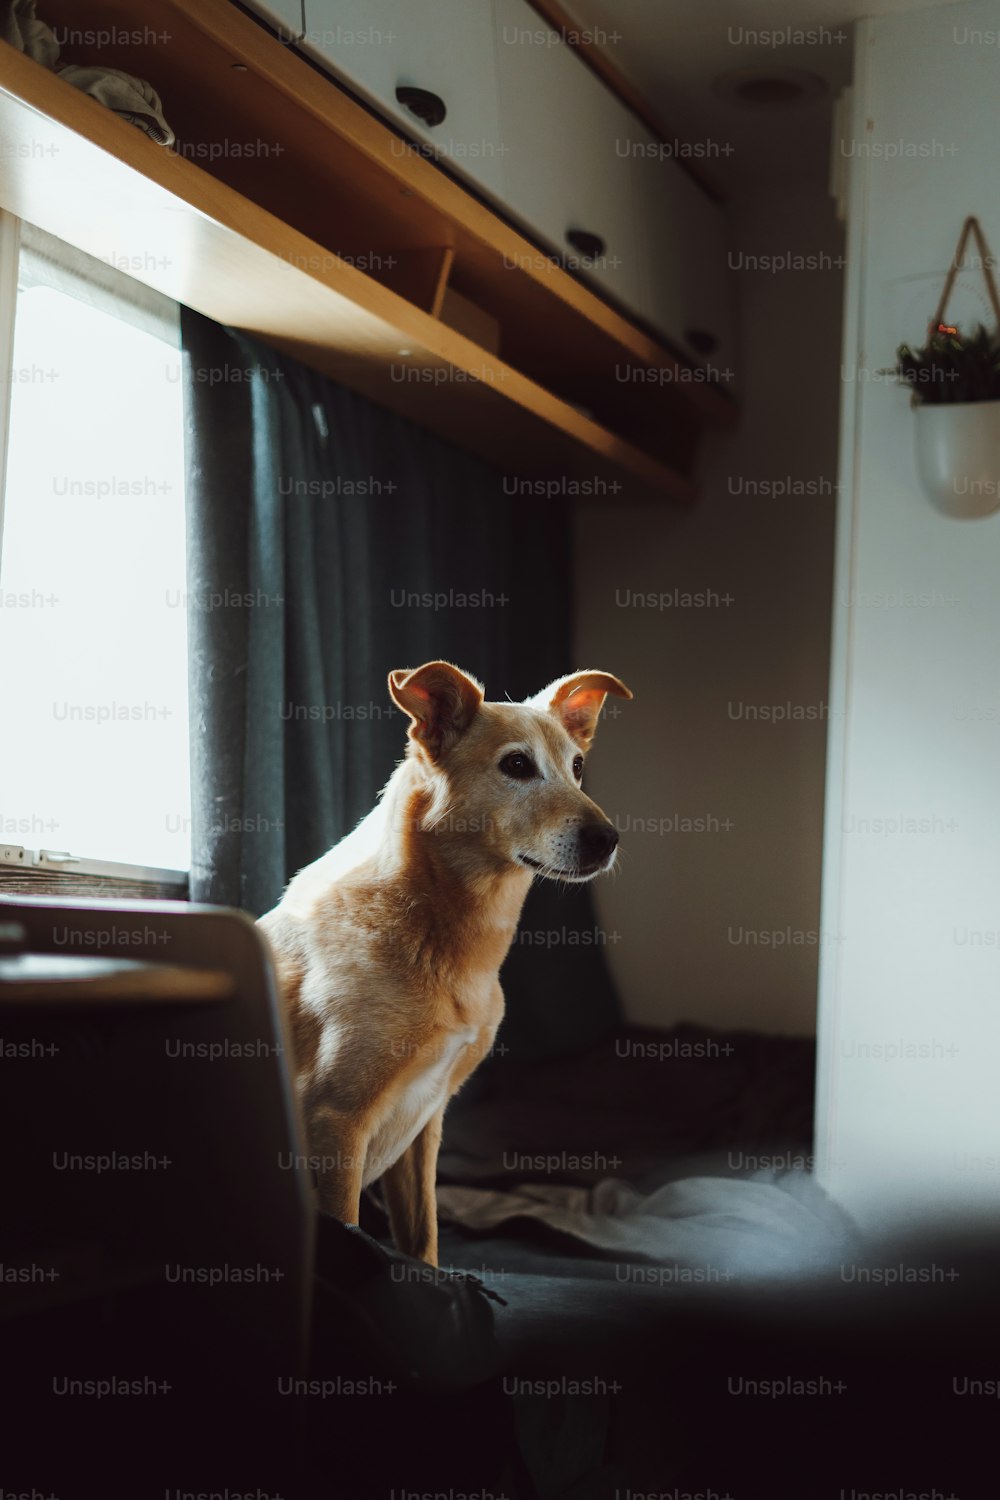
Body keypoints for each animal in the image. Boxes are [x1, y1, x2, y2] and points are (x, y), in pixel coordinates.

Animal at [260, 663, 632, 1260]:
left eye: (577, 767)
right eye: (517, 765)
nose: (609, 839)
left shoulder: (425, 1123)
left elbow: (424, 1241)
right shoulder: (336, 1123)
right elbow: (348, 1227)